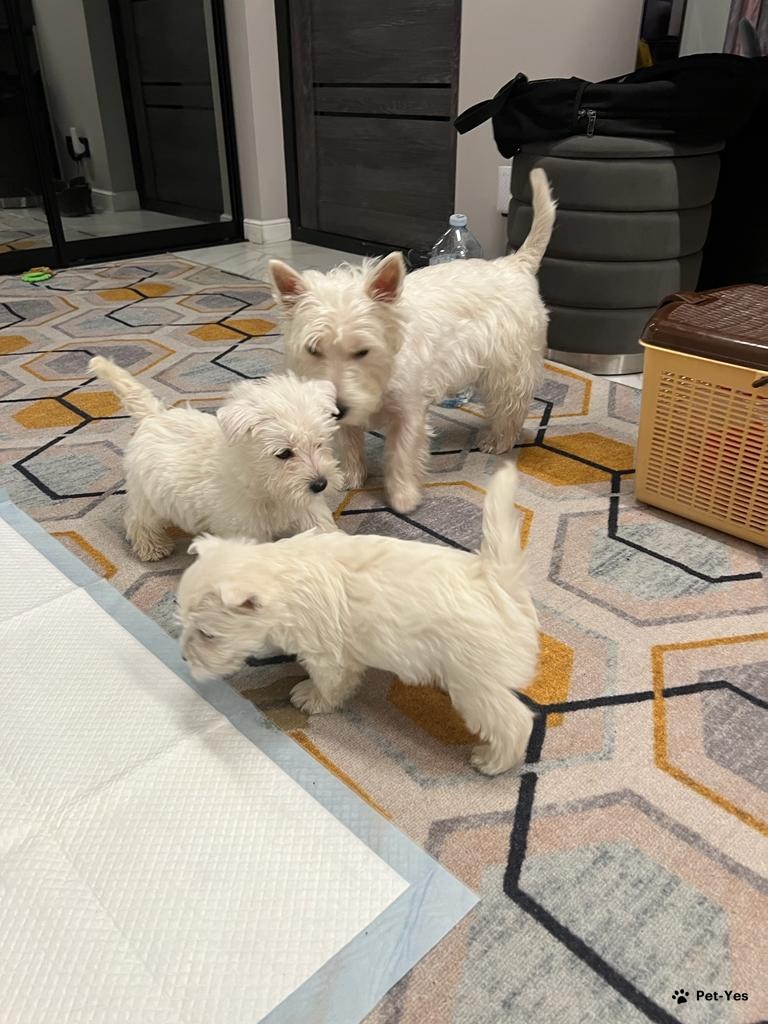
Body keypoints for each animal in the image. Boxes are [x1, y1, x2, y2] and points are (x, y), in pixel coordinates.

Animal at [89, 357, 341, 560]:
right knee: (137, 520)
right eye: (284, 453)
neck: (265, 487)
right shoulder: (245, 527)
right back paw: (153, 548)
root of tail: (154, 415)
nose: (321, 484)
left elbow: (322, 528)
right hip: (149, 497)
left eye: (320, 443)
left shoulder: (308, 509)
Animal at [177, 463, 539, 775]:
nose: (183, 658)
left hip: (474, 682)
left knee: (515, 722)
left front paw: (310, 698)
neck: (283, 579)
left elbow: (328, 682)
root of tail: (498, 580)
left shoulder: (328, 656)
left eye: (207, 634)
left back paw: (492, 761)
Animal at [270, 169, 555, 515]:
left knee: (512, 403)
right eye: (313, 350)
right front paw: (351, 477)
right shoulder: (348, 411)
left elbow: (402, 453)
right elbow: (349, 440)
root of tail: (514, 264)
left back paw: (498, 439)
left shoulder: (409, 409)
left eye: (363, 351)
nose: (335, 409)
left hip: (509, 365)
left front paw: (403, 497)